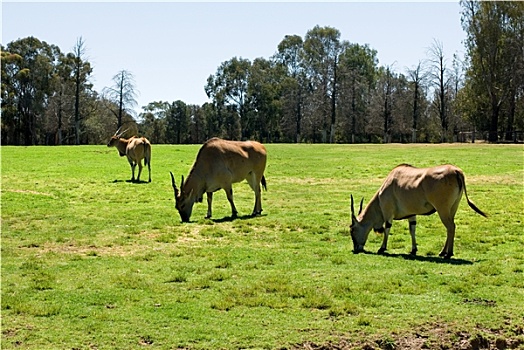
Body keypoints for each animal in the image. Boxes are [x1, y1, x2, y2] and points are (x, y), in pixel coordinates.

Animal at [350, 163, 490, 258]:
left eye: (352, 229)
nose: (356, 248)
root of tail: (456, 171)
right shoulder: (412, 215)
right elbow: (412, 229)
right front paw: (413, 250)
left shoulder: (388, 214)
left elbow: (387, 229)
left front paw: (382, 248)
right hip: (452, 209)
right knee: (450, 228)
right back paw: (442, 252)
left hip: (442, 210)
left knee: (451, 227)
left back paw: (448, 253)